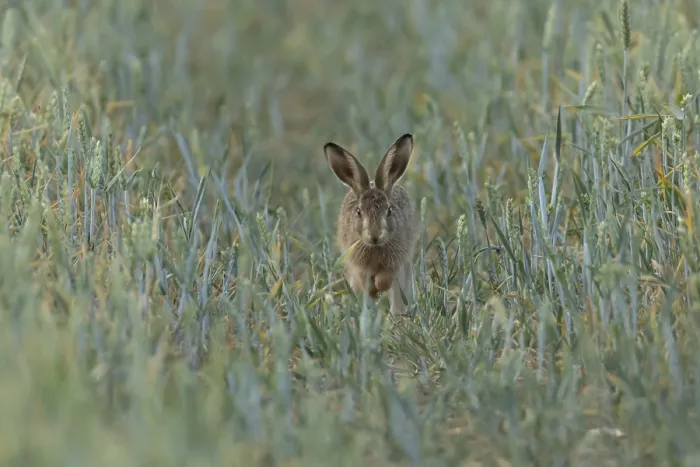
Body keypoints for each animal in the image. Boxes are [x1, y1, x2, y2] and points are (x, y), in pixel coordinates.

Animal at [324, 133, 417, 316]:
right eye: (359, 212)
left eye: (389, 211)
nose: (375, 235)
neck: (374, 247)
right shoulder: (357, 264)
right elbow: (364, 280)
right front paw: (373, 292)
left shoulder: (395, 261)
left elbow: (385, 279)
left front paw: (378, 289)